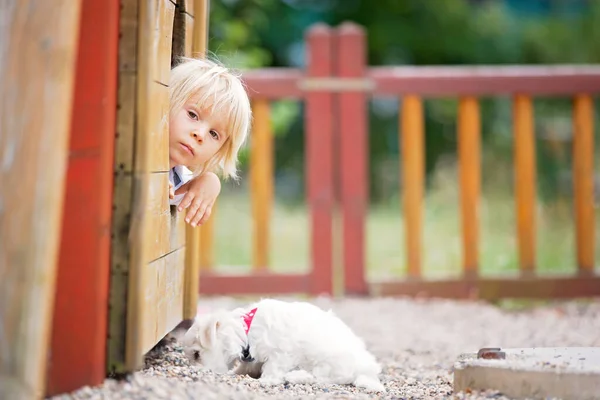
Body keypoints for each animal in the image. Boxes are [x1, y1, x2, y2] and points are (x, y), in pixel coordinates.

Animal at [180, 298, 384, 392]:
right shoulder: (252, 356)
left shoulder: (282, 352)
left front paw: (266, 380)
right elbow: (249, 365)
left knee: (321, 377)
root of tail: (366, 371)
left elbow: (273, 367)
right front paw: (237, 372)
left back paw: (296, 376)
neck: (247, 330)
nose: (195, 370)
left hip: (328, 361)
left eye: (197, 354)